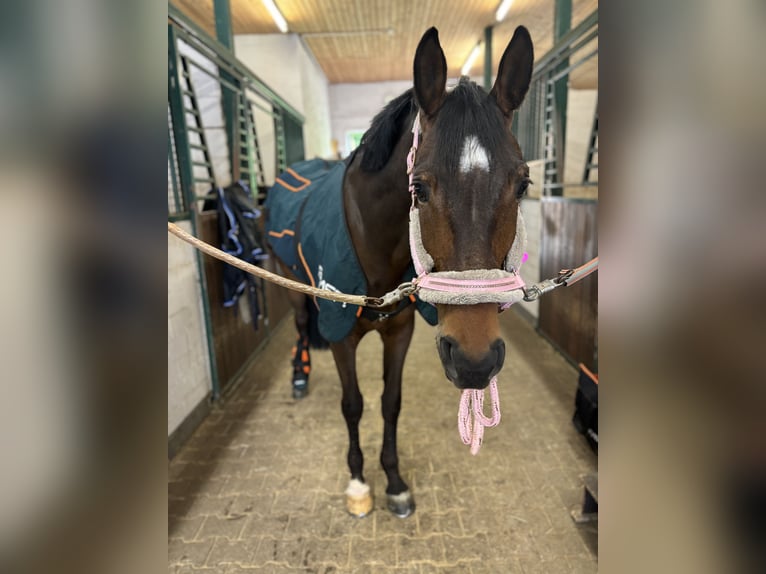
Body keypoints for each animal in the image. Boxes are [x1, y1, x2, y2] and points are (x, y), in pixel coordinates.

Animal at [268, 24, 536, 520]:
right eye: (419, 188)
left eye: (523, 184)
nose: (474, 361)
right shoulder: (341, 333)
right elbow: (353, 404)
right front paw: (358, 482)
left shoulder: (401, 331)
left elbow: (390, 404)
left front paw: (393, 482)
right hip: (289, 284)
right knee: (298, 325)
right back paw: (299, 375)